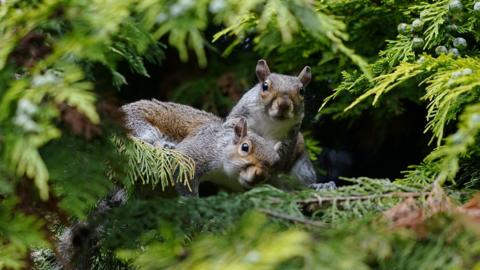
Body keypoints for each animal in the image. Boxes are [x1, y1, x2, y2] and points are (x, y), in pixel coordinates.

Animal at [120, 99, 284, 194]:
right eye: (245, 147)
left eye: (276, 163)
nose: (259, 175)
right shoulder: (198, 152)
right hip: (140, 125)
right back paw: (163, 144)